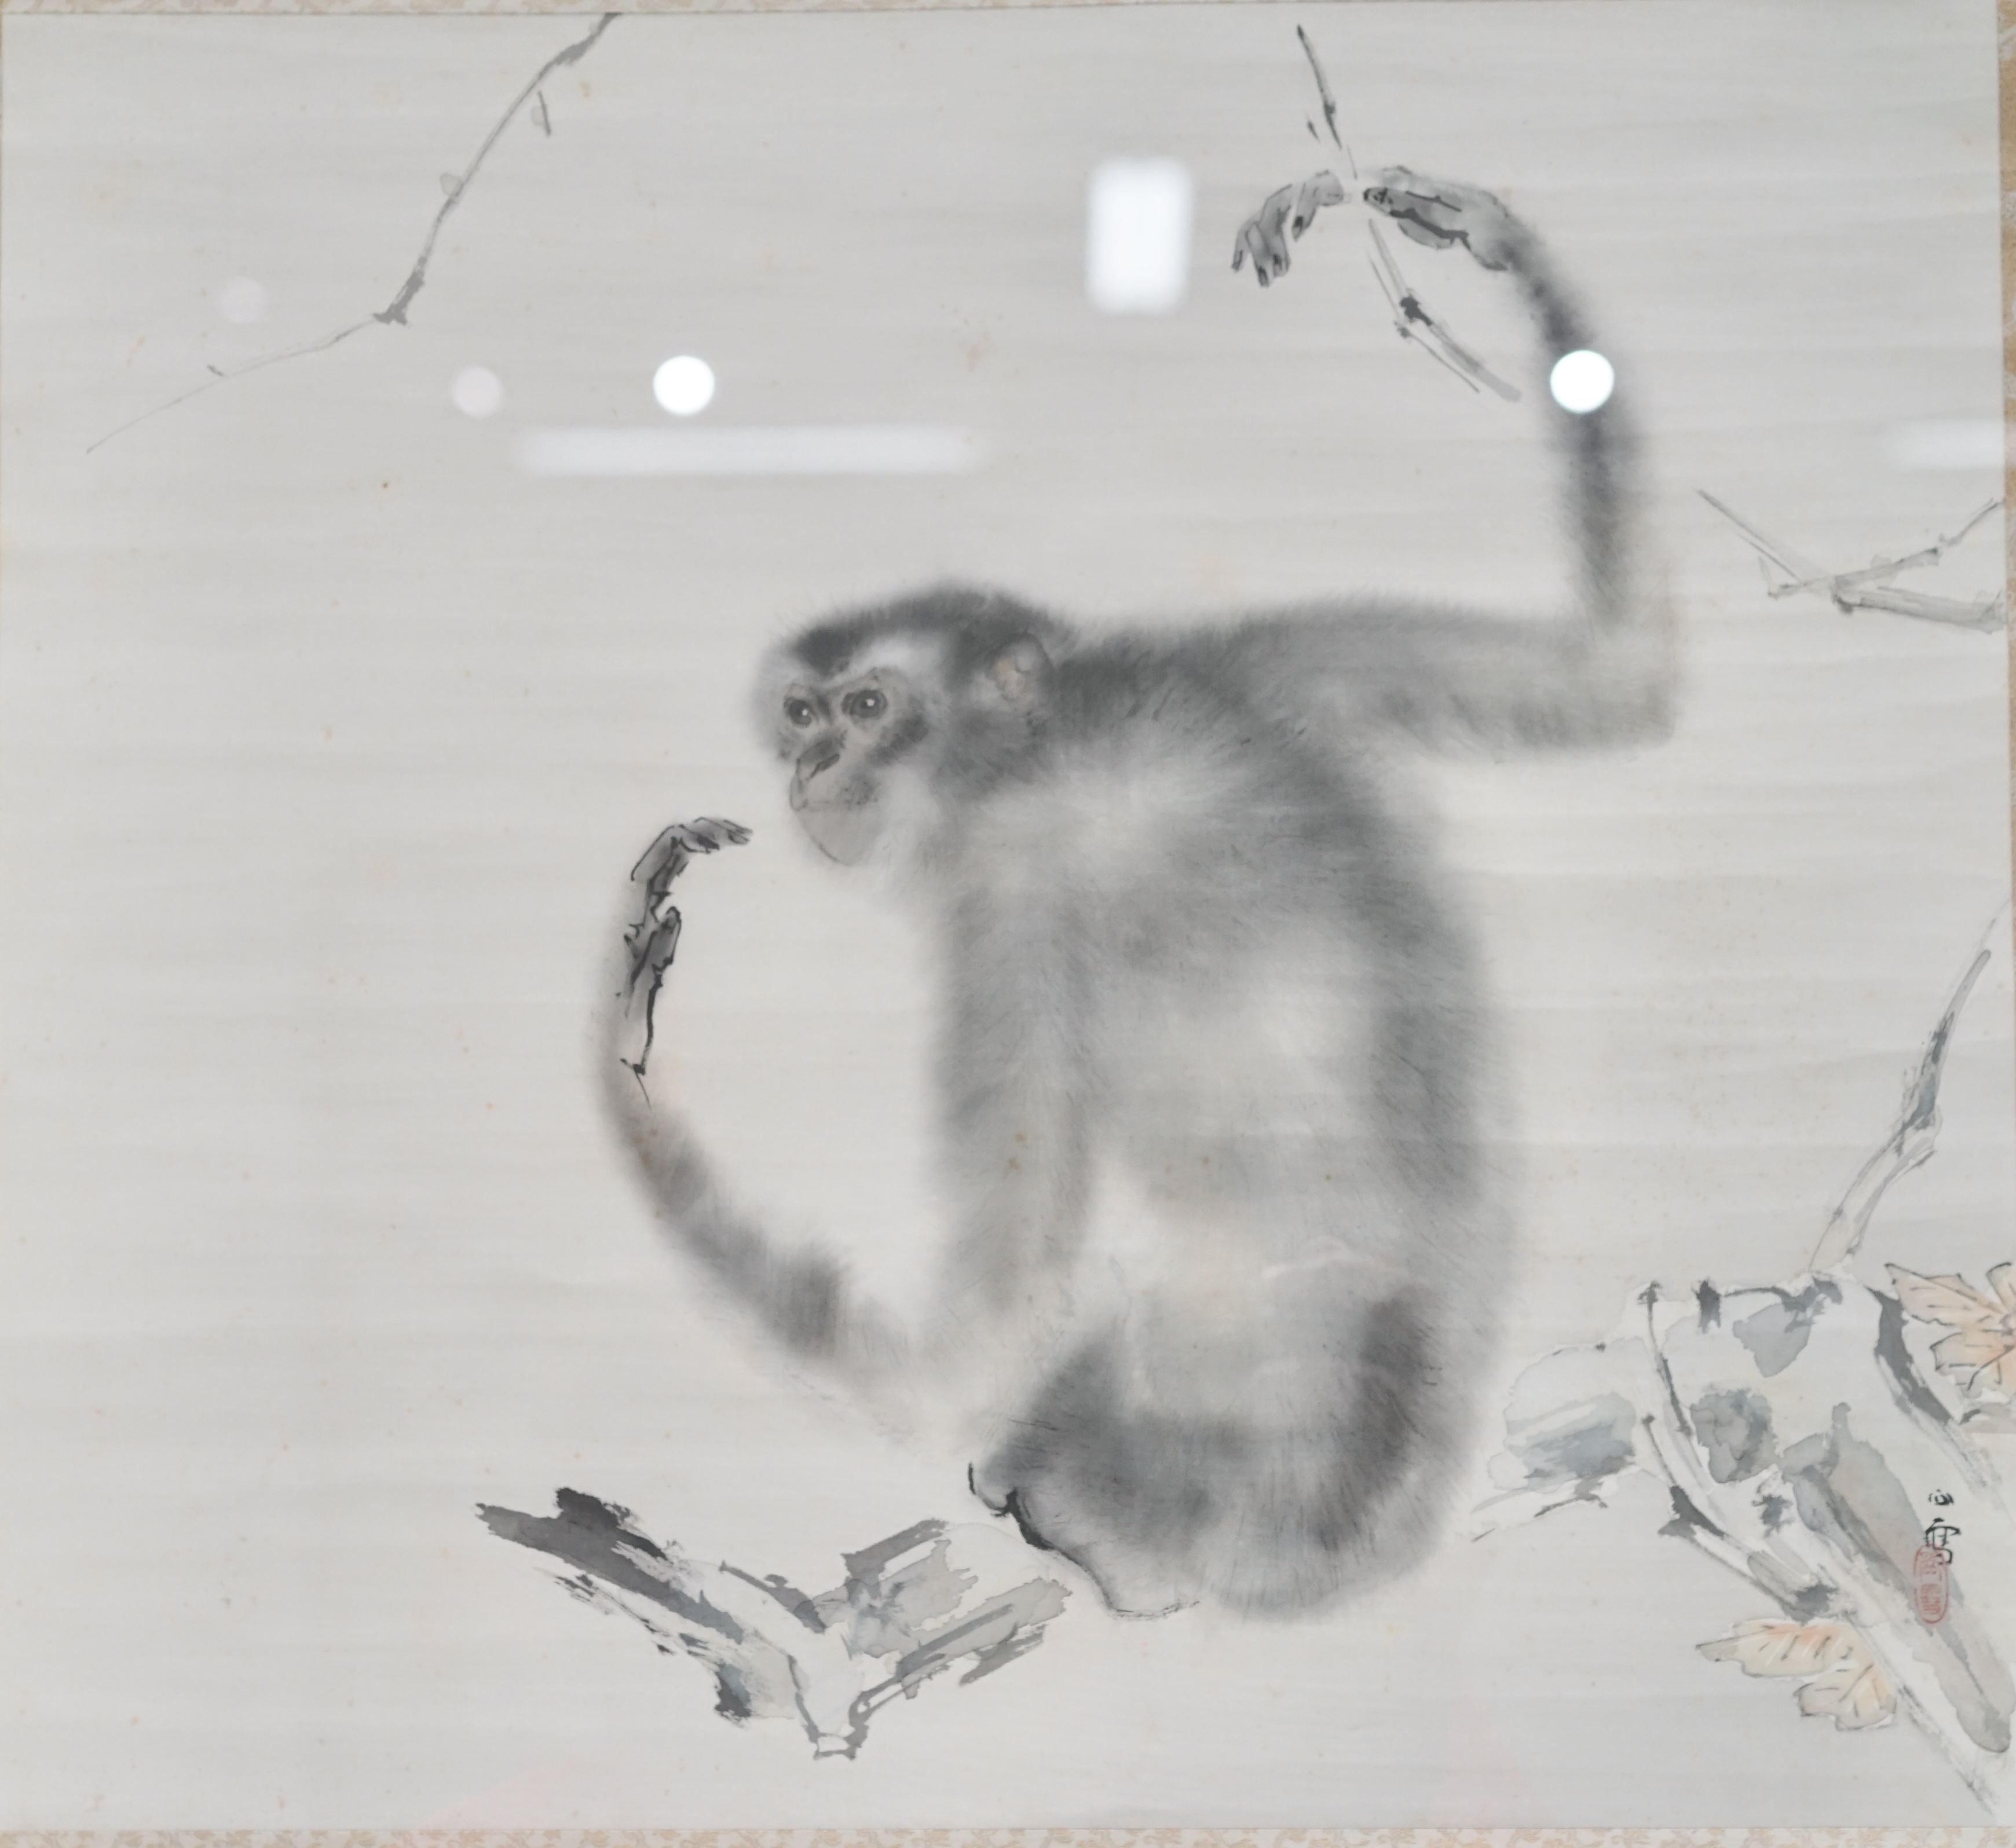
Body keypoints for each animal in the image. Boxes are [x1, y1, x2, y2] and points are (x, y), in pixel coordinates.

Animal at [603, 169, 1676, 1619]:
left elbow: (965, 1356)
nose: (812, 763)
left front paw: (632, 1040)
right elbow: (1622, 672)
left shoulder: (1012, 902)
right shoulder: (1258, 659)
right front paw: (1494, 244)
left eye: (868, 708)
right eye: (803, 713)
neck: (1059, 740)